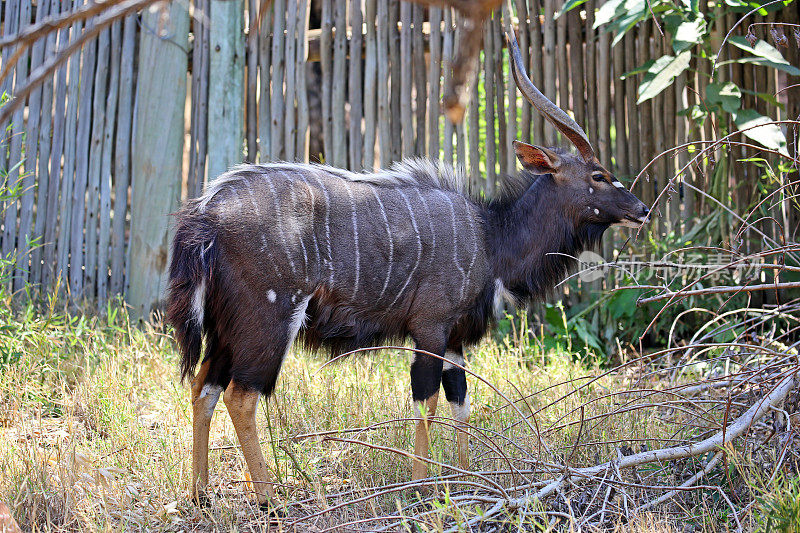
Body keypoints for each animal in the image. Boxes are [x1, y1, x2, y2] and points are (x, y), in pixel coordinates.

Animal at [167, 34, 648, 508]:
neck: (490, 236)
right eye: (599, 176)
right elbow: (426, 400)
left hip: (225, 328)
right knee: (241, 395)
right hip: (268, 318)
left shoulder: (455, 339)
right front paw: (422, 488)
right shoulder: (430, 327)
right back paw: (270, 501)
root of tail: (205, 214)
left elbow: (460, 400)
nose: (642, 210)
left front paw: (466, 479)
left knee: (203, 387)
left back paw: (200, 495)